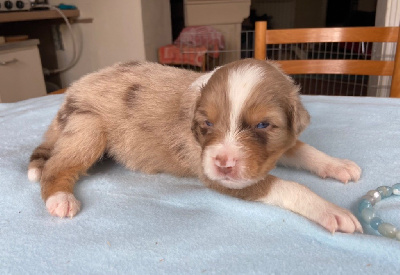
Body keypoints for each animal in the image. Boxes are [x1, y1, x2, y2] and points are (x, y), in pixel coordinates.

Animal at [28, 59, 362, 234]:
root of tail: (71, 91)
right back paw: (60, 199)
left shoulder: (278, 145)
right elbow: (291, 186)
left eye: (263, 125)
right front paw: (332, 211)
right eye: (207, 123)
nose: (223, 163)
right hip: (89, 129)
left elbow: (303, 149)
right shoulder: (222, 178)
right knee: (56, 166)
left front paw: (338, 165)